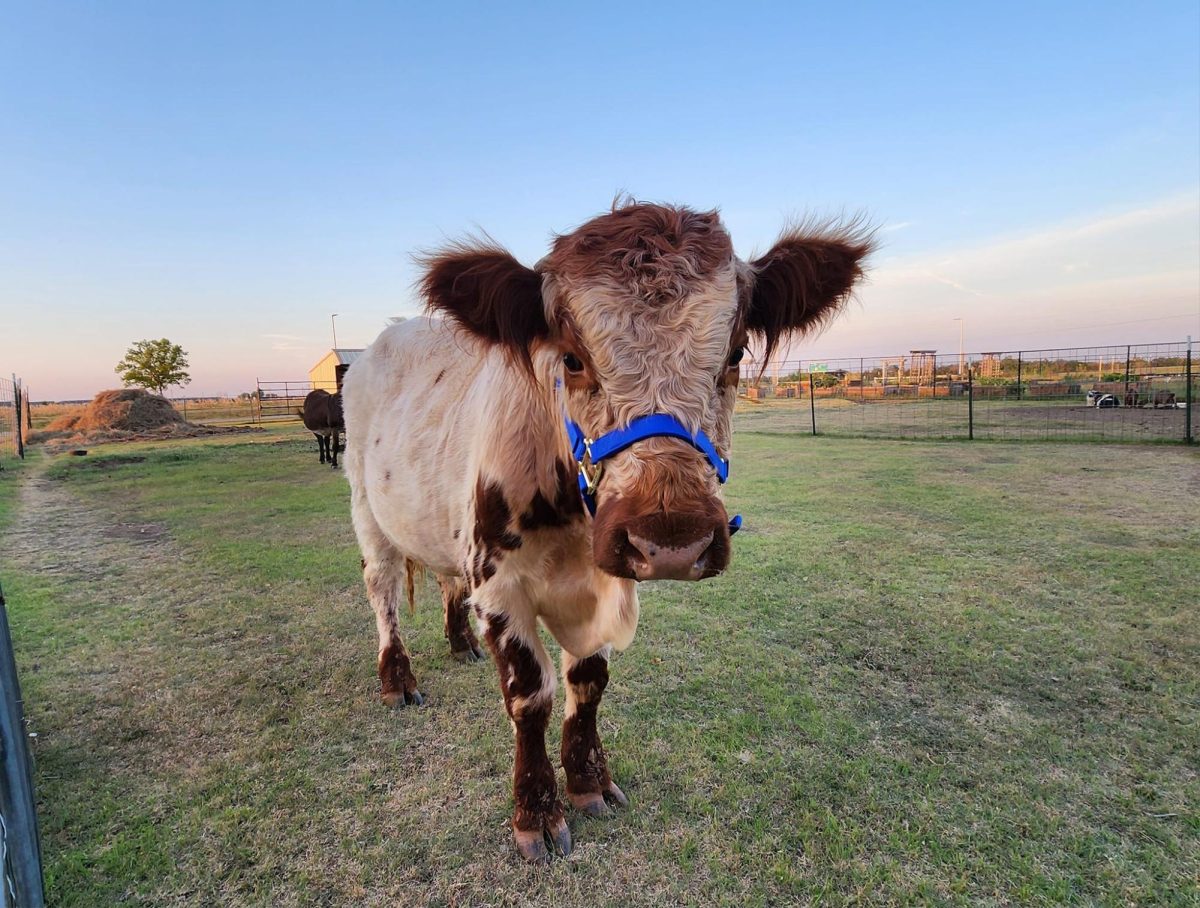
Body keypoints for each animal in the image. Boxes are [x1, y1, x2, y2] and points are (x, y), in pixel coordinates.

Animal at [338, 201, 873, 858]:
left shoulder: (605, 581)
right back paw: (397, 677)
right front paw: (536, 811)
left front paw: (589, 781)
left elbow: (589, 682)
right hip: (367, 509)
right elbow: (531, 696)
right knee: (382, 590)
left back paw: (459, 643)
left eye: (736, 353)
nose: (672, 539)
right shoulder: (497, 584)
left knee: (444, 579)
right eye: (571, 358)